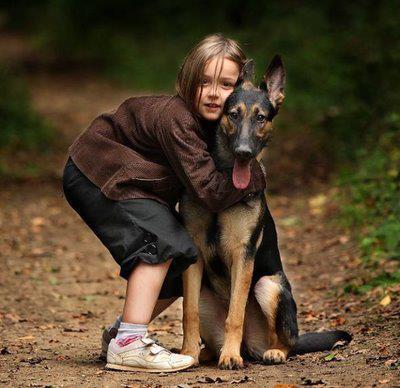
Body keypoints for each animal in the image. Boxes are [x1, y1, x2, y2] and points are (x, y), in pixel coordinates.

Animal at [180, 56, 352, 368]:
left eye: (260, 118)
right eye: (233, 115)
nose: (244, 152)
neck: (221, 185)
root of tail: (250, 346)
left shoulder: (243, 255)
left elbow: (235, 314)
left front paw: (230, 357)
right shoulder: (194, 255)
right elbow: (190, 313)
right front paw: (187, 353)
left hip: (268, 286)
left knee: (286, 342)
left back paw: (268, 352)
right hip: (205, 293)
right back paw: (208, 353)